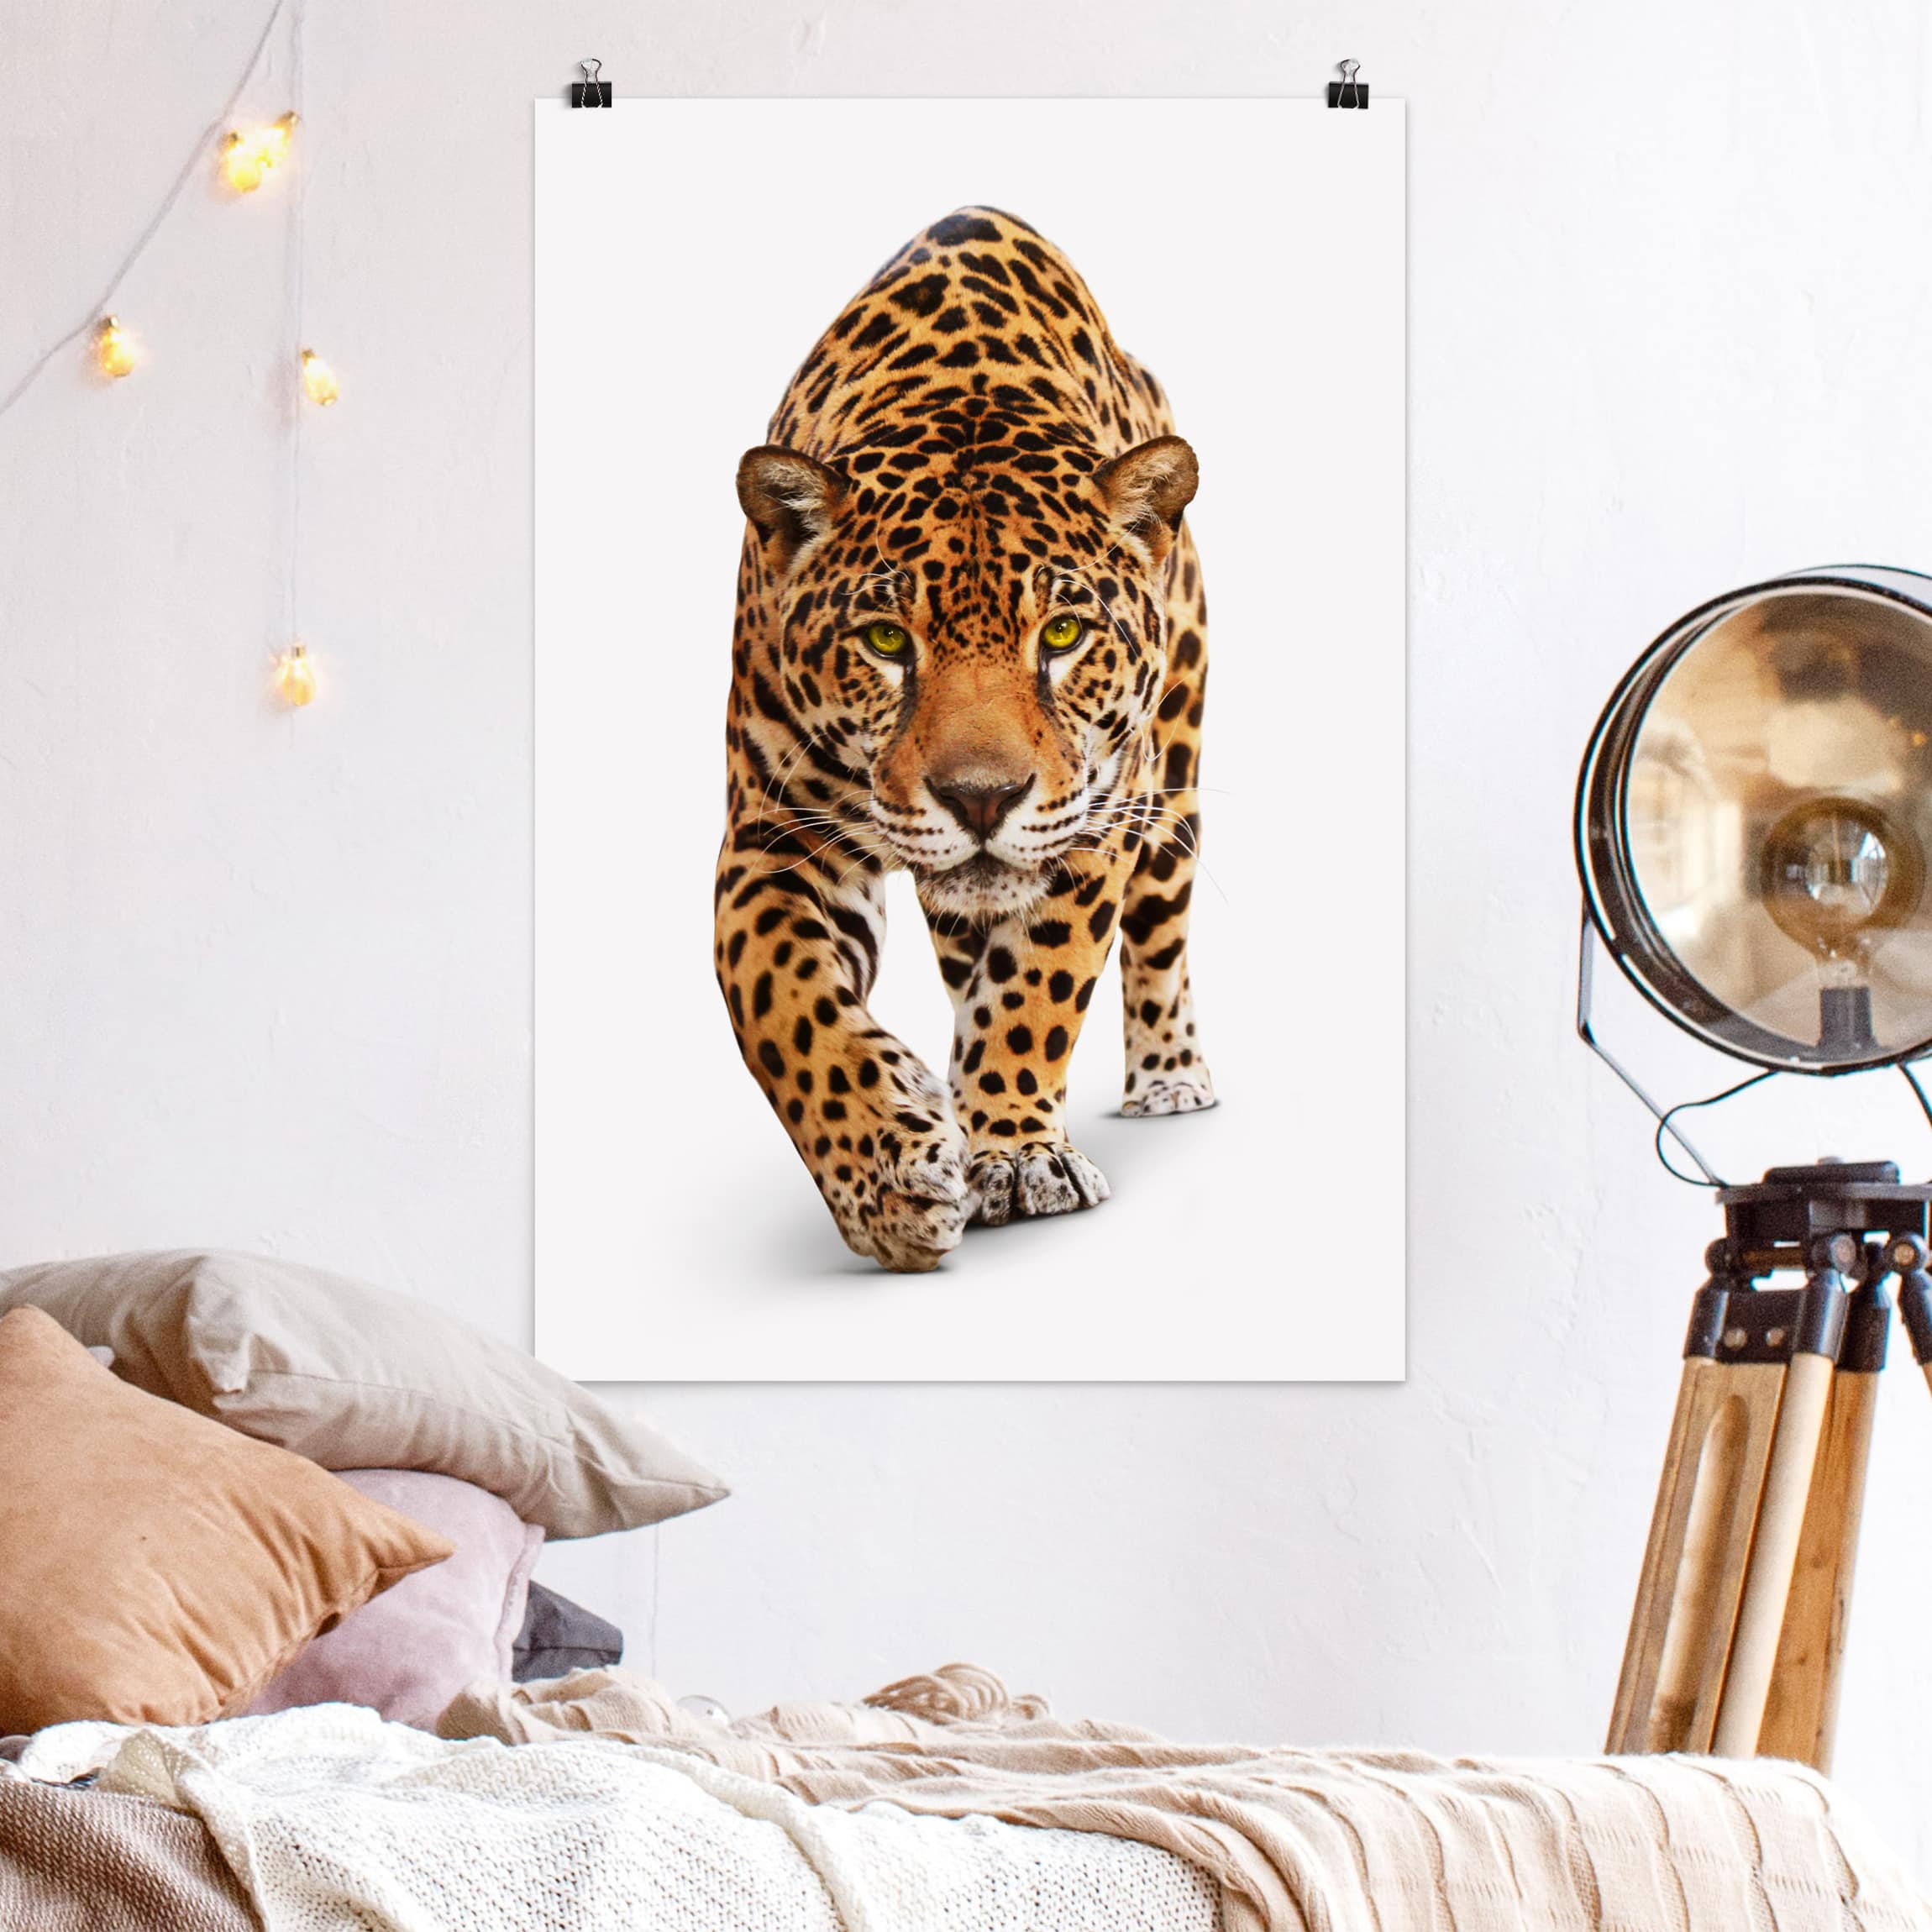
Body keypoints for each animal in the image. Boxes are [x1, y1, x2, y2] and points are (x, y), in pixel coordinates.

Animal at [715, 206, 1214, 1274]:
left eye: (1061, 635)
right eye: (884, 641)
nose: (980, 797)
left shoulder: (1096, 814)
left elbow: (1040, 984)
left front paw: (1019, 1155)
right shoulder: (772, 833)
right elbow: (781, 1002)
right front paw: (888, 1179)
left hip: (1175, 785)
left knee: (1157, 938)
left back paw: (1167, 1076)